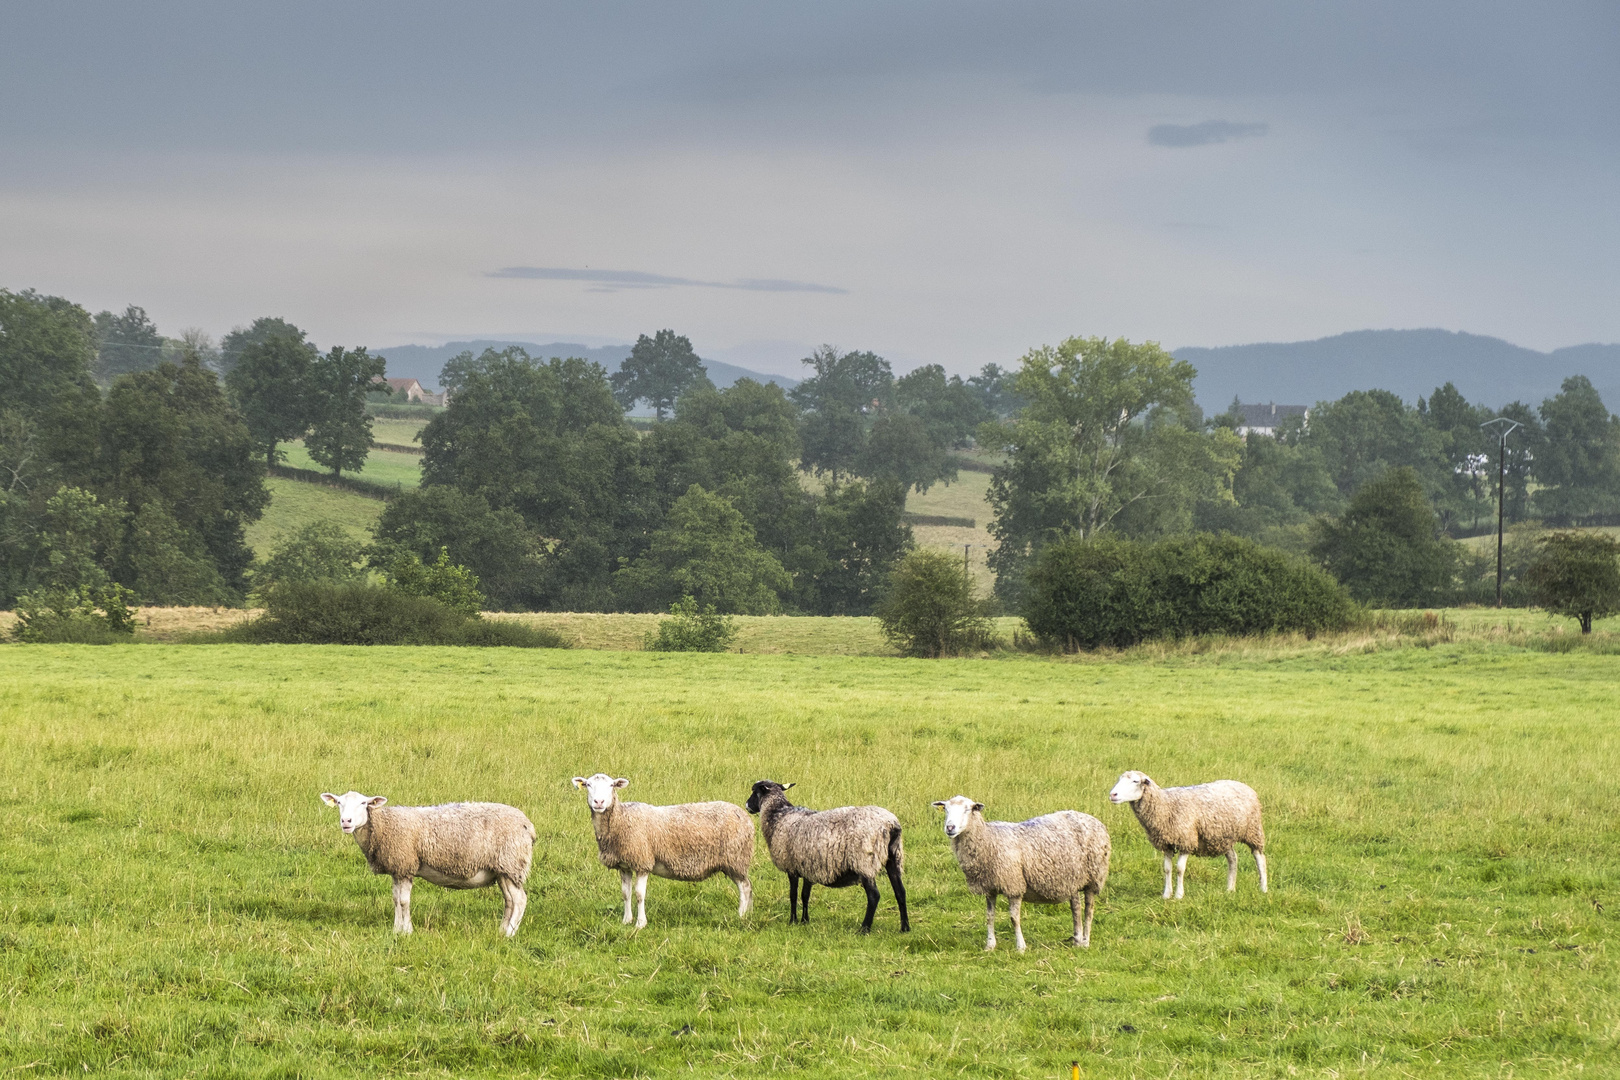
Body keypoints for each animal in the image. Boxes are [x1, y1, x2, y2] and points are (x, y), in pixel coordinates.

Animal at [319, 790, 534, 932]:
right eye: (339, 803)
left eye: (364, 803)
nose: (346, 822)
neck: (382, 825)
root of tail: (528, 825)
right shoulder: (398, 868)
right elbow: (395, 899)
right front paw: (396, 930)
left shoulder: (406, 865)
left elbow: (404, 901)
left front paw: (407, 931)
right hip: (503, 870)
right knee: (510, 901)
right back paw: (501, 931)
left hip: (511, 863)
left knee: (519, 900)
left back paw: (509, 934)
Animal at [573, 767, 754, 932]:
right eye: (588, 785)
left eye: (612, 785)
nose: (599, 802)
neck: (621, 818)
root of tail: (745, 816)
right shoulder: (624, 866)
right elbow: (626, 893)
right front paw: (626, 920)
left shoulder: (642, 862)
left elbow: (639, 895)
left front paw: (640, 923)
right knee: (747, 887)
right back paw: (747, 914)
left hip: (736, 859)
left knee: (745, 887)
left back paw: (741, 915)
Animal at [745, 780, 913, 932]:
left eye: (754, 791)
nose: (747, 805)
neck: (778, 815)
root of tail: (891, 825)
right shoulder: (807, 866)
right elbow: (805, 895)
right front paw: (805, 921)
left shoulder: (791, 867)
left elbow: (793, 895)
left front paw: (792, 921)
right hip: (894, 857)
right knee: (900, 892)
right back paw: (905, 928)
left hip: (865, 861)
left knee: (874, 896)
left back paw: (864, 929)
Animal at [933, 793, 1108, 952]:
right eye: (946, 809)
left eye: (968, 809)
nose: (950, 828)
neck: (989, 839)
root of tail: (1091, 818)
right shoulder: (990, 887)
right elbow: (989, 917)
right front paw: (989, 945)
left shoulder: (1014, 885)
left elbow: (1014, 918)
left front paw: (1021, 947)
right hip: (1072, 879)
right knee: (1076, 908)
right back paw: (1077, 939)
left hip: (1094, 877)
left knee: (1089, 909)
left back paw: (1085, 941)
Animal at [1108, 767, 1270, 906]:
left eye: (1135, 781)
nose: (1112, 795)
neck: (1166, 805)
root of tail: (1244, 785)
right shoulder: (1167, 843)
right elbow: (1167, 869)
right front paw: (1166, 894)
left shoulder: (1186, 840)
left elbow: (1180, 869)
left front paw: (1179, 895)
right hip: (1223, 836)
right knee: (1233, 858)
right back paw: (1230, 889)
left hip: (1253, 830)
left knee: (1260, 858)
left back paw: (1263, 888)